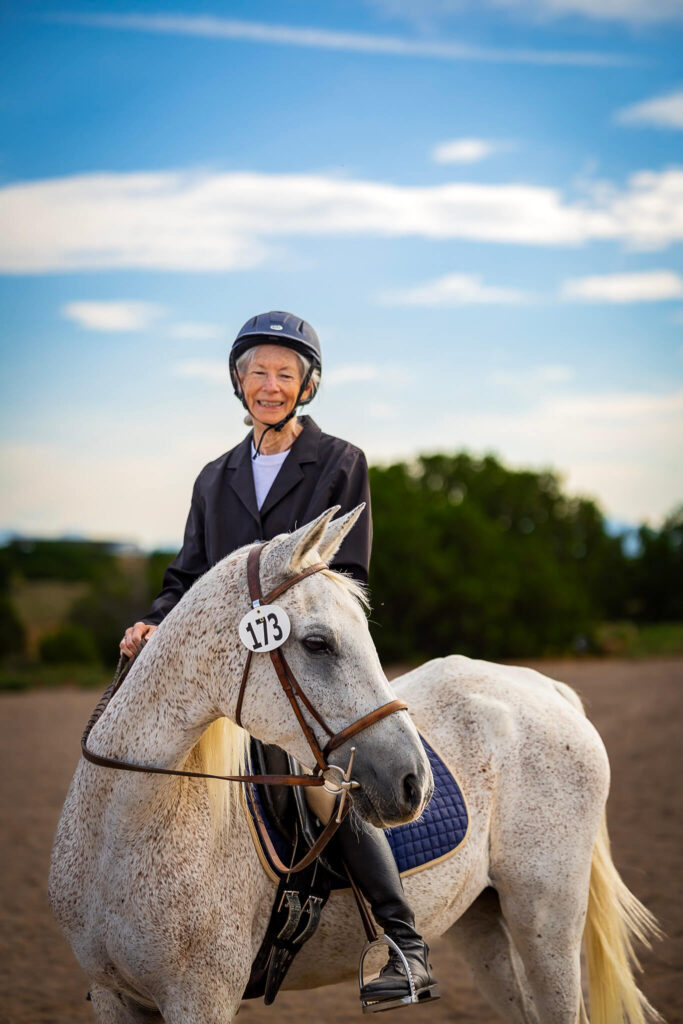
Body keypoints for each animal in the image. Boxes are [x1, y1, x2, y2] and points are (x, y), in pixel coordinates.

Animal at [49, 507, 663, 1019]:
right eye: (317, 643)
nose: (416, 782)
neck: (125, 827)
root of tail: (540, 684)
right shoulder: (116, 996)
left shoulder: (200, 999)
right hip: (482, 920)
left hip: (547, 917)